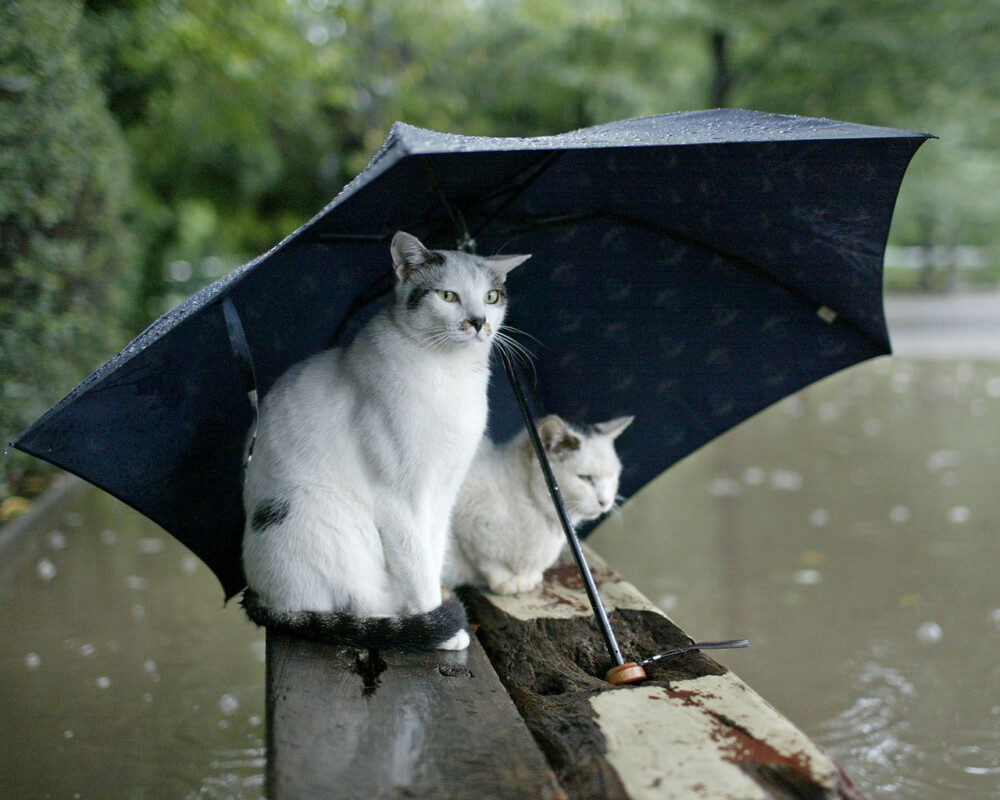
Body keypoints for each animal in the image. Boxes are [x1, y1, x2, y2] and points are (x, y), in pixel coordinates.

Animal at [446, 418, 632, 592]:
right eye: (585, 478)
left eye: (613, 475)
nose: (606, 501)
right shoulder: (465, 519)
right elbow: (487, 560)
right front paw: (506, 581)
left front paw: (527, 578)